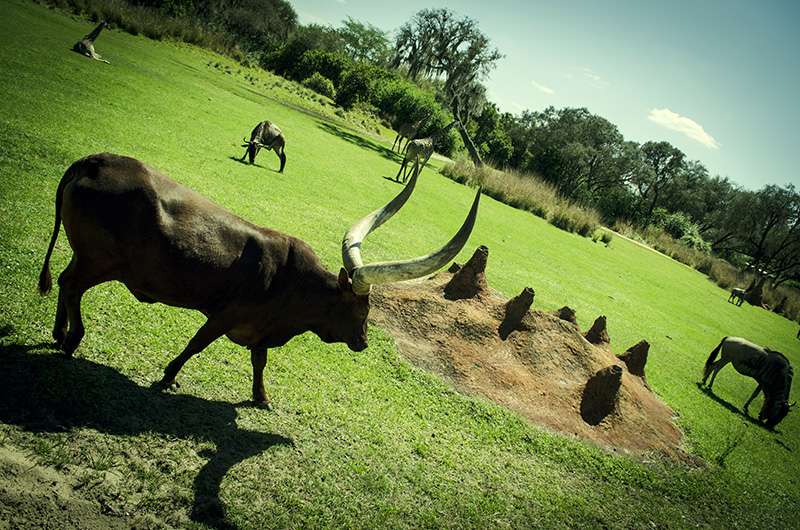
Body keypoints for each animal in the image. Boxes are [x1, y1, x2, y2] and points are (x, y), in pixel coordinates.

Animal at [39, 153, 482, 404]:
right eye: (363, 308)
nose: (363, 342)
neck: (296, 287)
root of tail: (94, 161)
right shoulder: (223, 315)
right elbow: (197, 344)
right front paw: (168, 376)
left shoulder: (261, 331)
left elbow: (259, 360)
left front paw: (260, 397)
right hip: (99, 261)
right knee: (71, 285)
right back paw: (72, 340)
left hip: (89, 259)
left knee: (63, 281)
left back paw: (59, 335)